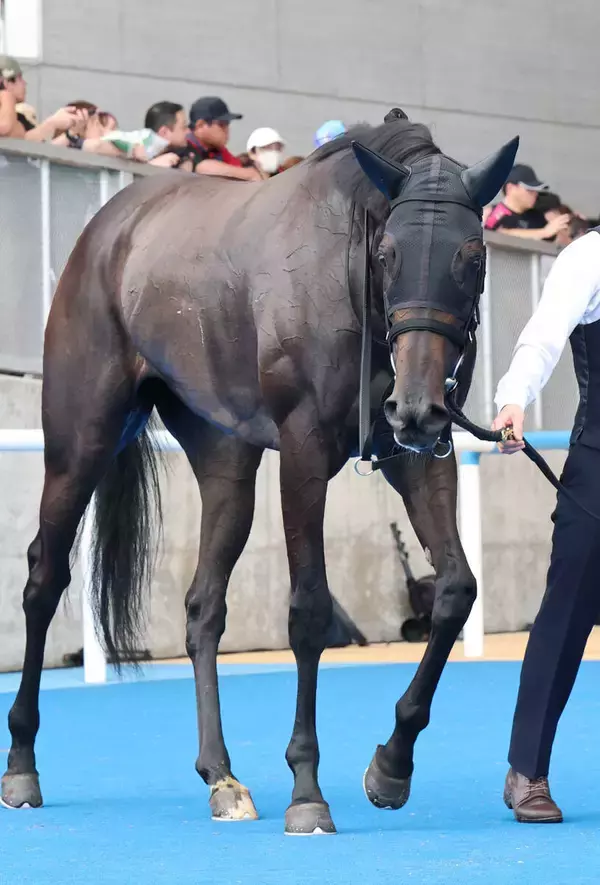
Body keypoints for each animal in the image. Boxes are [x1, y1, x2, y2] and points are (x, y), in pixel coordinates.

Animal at [1, 110, 518, 834]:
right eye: (387, 253)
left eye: (471, 256)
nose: (415, 405)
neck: (345, 277)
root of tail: (109, 229)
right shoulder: (303, 451)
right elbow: (308, 609)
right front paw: (307, 789)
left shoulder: (422, 452)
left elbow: (455, 590)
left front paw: (391, 766)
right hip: (80, 440)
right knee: (44, 579)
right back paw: (22, 763)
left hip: (225, 462)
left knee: (203, 607)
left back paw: (221, 776)